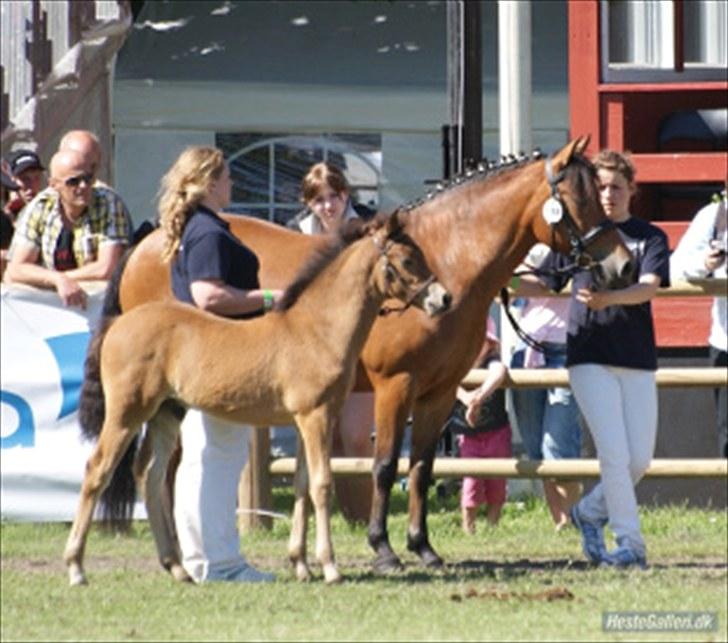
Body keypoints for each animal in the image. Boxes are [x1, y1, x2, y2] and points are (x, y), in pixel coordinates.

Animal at [64, 213, 450, 588]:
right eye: (407, 259)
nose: (443, 298)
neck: (317, 330)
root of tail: (116, 325)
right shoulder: (316, 417)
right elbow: (322, 485)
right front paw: (330, 568)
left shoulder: (305, 421)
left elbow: (302, 485)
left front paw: (301, 565)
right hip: (127, 412)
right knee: (97, 470)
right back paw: (76, 568)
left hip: (166, 412)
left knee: (150, 474)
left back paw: (176, 568)